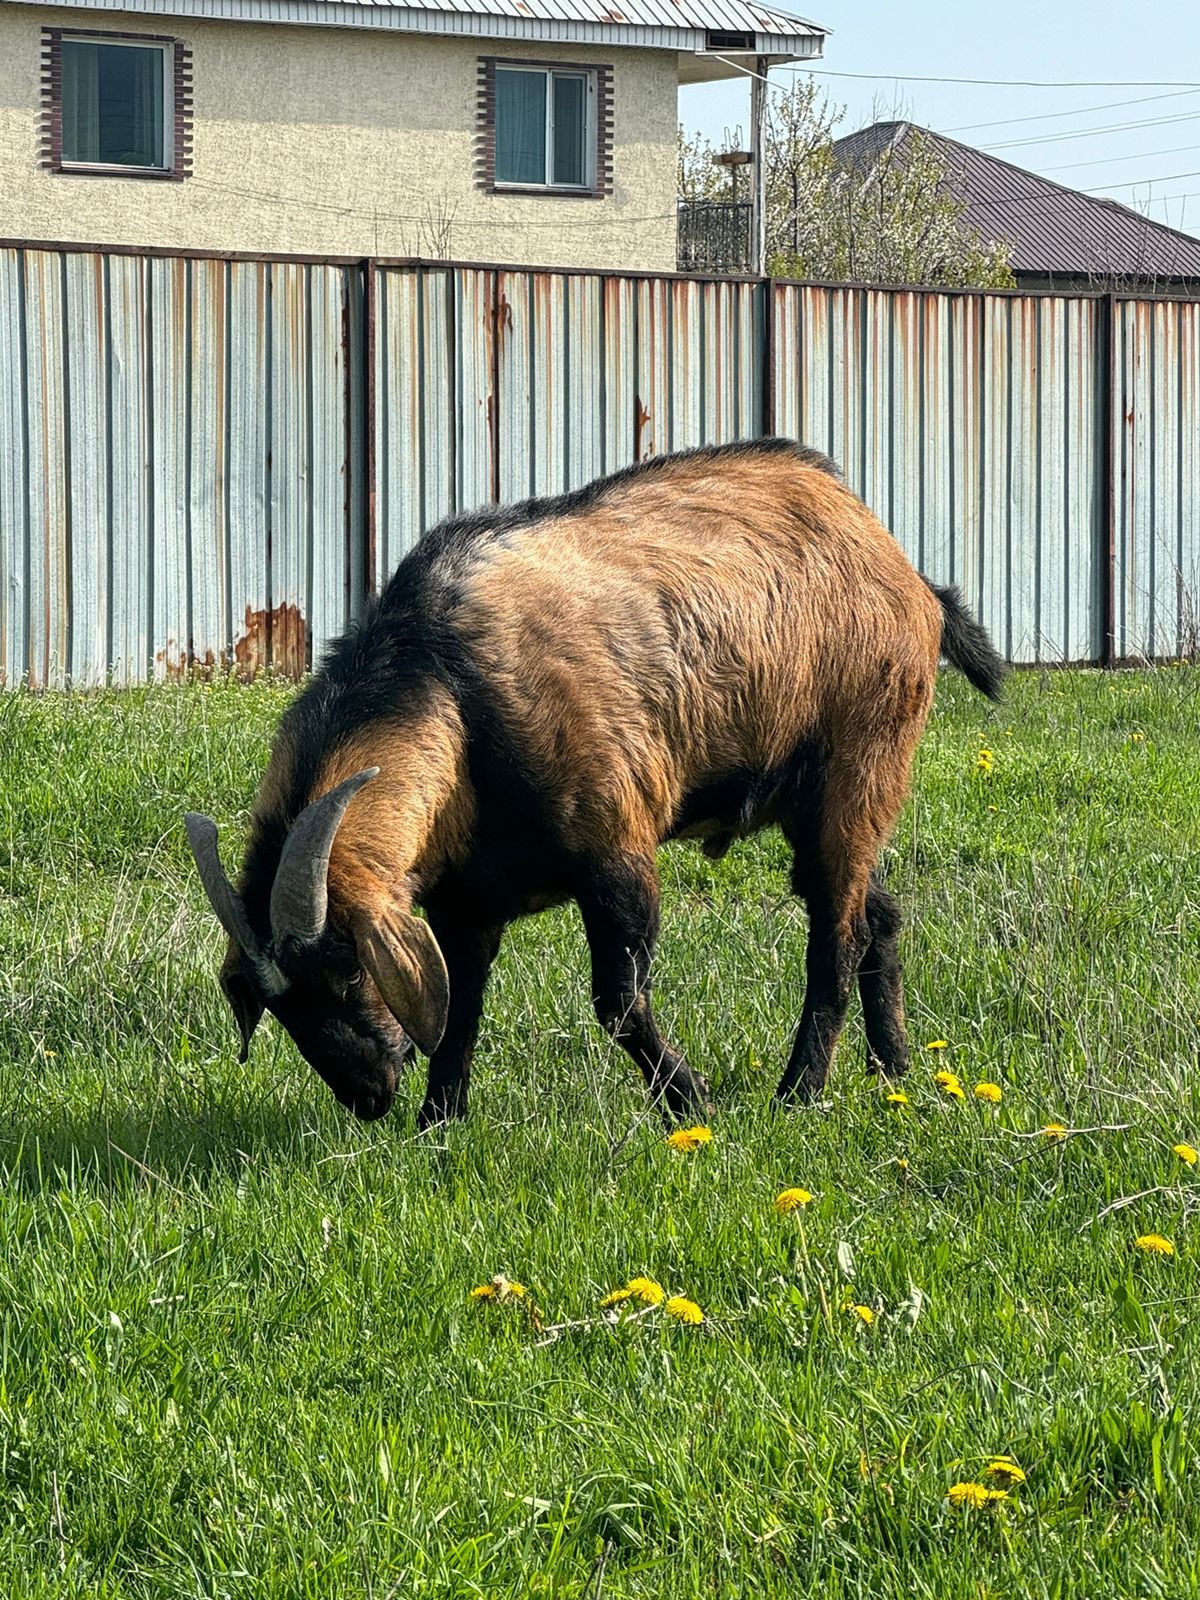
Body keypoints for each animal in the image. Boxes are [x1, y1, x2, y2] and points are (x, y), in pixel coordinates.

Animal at [185, 438, 1004, 1126]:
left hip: (859, 765)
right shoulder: (466, 899)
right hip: (820, 803)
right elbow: (460, 1012)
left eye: (347, 967)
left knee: (837, 936)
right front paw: (438, 1126)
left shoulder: (615, 849)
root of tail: (903, 570)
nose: (368, 1095)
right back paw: (892, 1071)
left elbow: (619, 1001)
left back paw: (799, 1093)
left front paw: (690, 1101)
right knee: (880, 917)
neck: (453, 680)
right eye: (278, 1008)